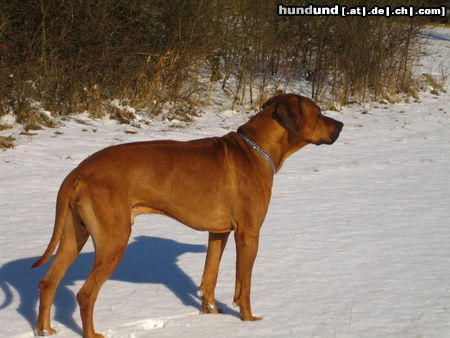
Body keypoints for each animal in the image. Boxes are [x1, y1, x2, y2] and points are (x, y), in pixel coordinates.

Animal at [31, 93, 342, 336]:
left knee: (48, 283)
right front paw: (249, 321)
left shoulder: (218, 232)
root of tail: (78, 171)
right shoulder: (248, 234)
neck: (256, 149)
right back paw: (92, 333)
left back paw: (45, 330)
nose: (341, 124)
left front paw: (211, 314)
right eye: (318, 113)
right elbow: (244, 285)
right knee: (85, 294)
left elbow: (209, 277)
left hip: (74, 235)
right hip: (114, 240)